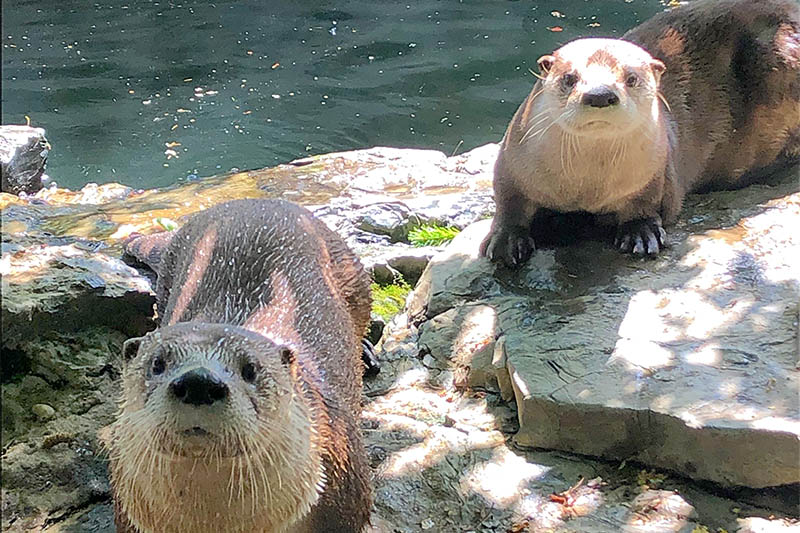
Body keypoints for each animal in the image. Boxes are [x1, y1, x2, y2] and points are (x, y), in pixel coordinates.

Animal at [481, 0, 800, 266]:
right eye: (569, 77)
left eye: (631, 78)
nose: (600, 94)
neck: (586, 188)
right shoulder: (512, 162)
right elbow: (509, 200)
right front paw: (505, 239)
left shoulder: (656, 173)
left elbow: (645, 204)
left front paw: (640, 231)